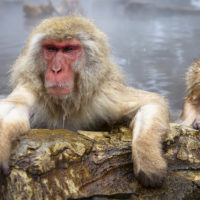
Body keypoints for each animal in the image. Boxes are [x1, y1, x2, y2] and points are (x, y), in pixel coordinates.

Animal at [0, 15, 170, 188]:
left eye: (69, 49)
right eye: (51, 48)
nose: (56, 70)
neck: (66, 104)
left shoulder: (101, 95)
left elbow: (150, 102)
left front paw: (149, 161)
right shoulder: (33, 91)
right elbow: (11, 108)